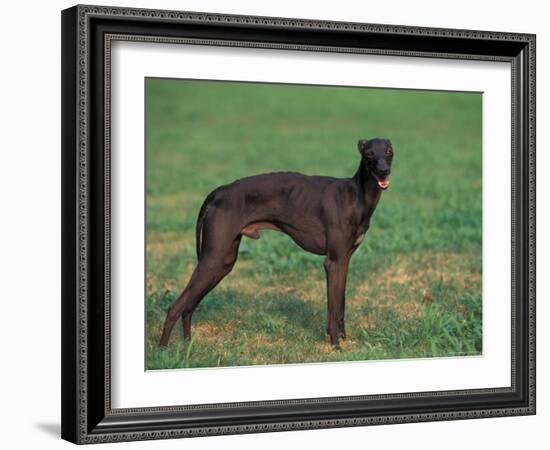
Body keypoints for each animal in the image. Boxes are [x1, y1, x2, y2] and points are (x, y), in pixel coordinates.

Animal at [157, 139, 394, 346]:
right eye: (369, 154)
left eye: (389, 151)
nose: (384, 171)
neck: (356, 196)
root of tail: (218, 192)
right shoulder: (333, 262)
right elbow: (333, 309)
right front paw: (336, 344)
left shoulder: (344, 261)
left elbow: (341, 305)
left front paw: (344, 340)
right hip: (212, 260)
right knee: (175, 308)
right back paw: (164, 351)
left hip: (222, 263)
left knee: (188, 307)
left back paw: (187, 345)